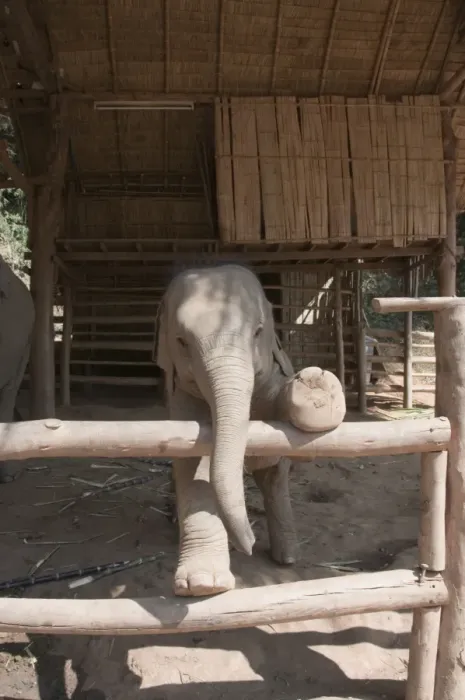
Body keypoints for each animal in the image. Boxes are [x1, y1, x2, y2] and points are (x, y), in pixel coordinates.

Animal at [156, 263, 346, 597]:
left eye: (258, 332)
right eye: (181, 341)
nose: (249, 544)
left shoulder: (271, 370)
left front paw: (316, 388)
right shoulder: (180, 393)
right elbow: (193, 462)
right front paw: (202, 584)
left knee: (273, 477)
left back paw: (287, 557)